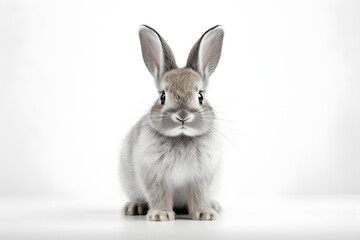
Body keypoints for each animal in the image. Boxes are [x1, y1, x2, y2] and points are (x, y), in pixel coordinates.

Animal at [119, 24, 224, 221]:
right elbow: (159, 195)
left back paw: (214, 206)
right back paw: (134, 207)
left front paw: (205, 214)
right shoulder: (154, 175)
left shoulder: (201, 177)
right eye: (162, 96)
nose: (183, 116)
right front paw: (160, 215)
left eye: (200, 96)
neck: (181, 137)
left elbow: (199, 195)